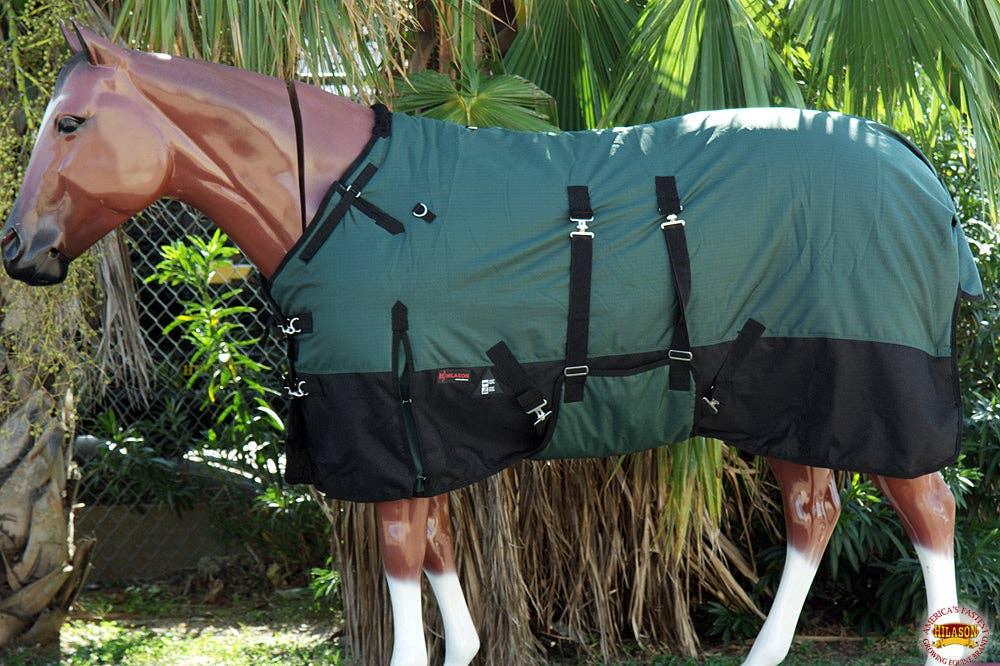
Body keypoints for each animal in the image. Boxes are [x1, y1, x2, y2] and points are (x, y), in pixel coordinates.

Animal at [3, 24, 982, 666]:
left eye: (70, 124)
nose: (18, 250)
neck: (347, 202)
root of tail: (914, 165)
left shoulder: (392, 427)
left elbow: (407, 578)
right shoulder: (425, 436)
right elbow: (444, 575)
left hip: (873, 387)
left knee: (932, 512)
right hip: (773, 393)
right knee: (815, 513)